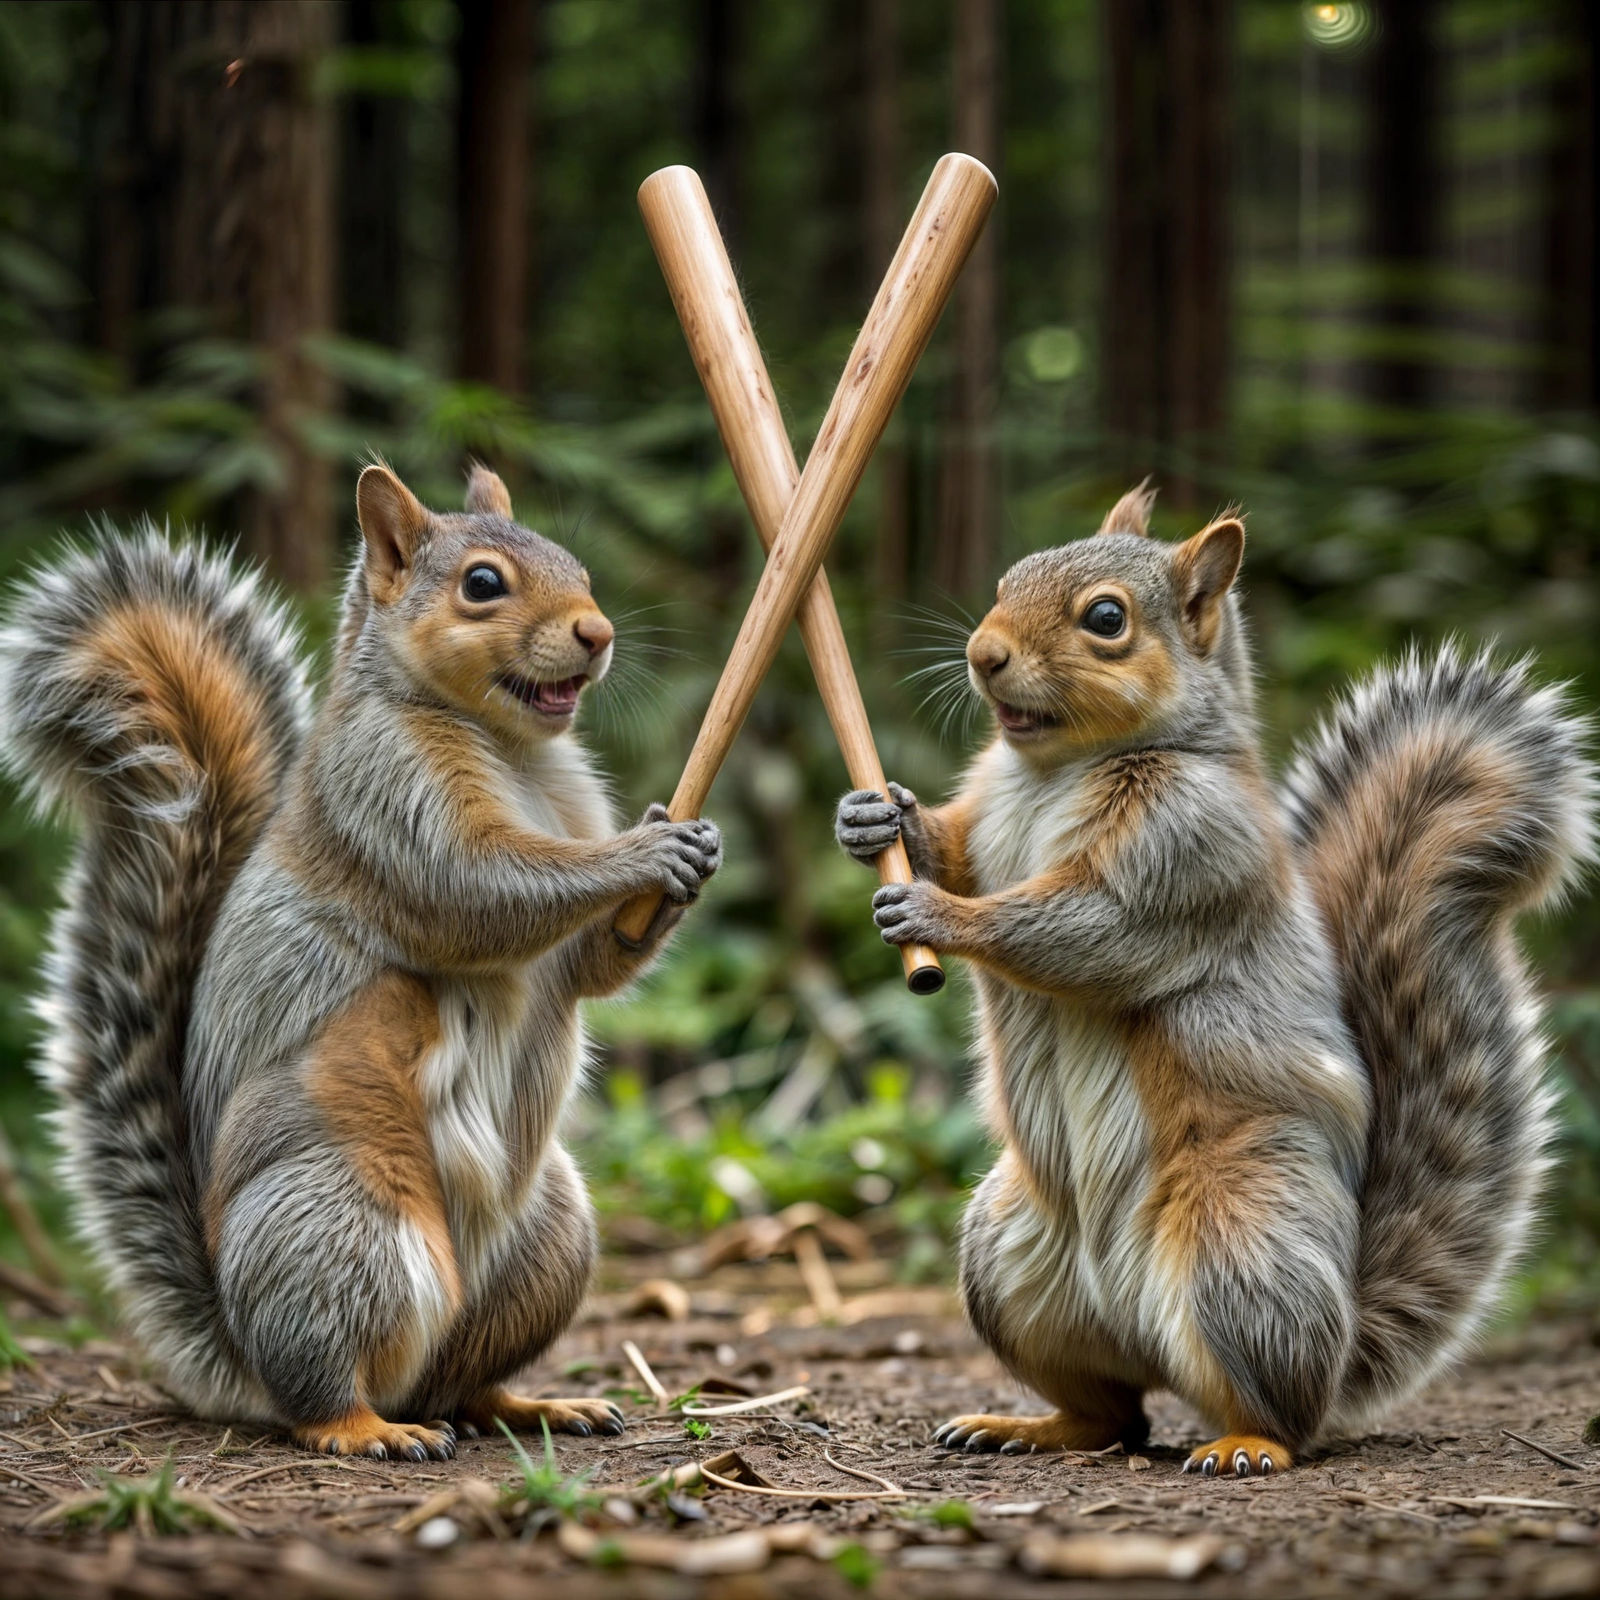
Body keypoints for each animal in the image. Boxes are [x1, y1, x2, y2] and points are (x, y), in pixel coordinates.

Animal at [0, 463, 722, 1458]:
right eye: (482, 584)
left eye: (576, 567)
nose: (598, 632)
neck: (516, 753)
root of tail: (236, 1352)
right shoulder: (387, 797)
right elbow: (483, 890)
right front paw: (643, 853)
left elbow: (584, 970)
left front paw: (684, 851)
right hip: (347, 1224)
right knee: (326, 1389)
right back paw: (368, 1429)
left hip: (549, 1238)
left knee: (461, 1382)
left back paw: (533, 1406)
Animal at [836, 483, 1594, 1476]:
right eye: (1006, 580)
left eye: (1106, 619)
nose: (982, 654)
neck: (1054, 772)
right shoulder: (994, 826)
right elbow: (957, 850)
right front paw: (879, 815)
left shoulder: (1186, 854)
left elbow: (1080, 932)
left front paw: (937, 916)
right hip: (1007, 1254)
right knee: (1114, 1414)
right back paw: (1028, 1425)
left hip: (1239, 1251)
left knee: (1273, 1413)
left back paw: (1245, 1444)